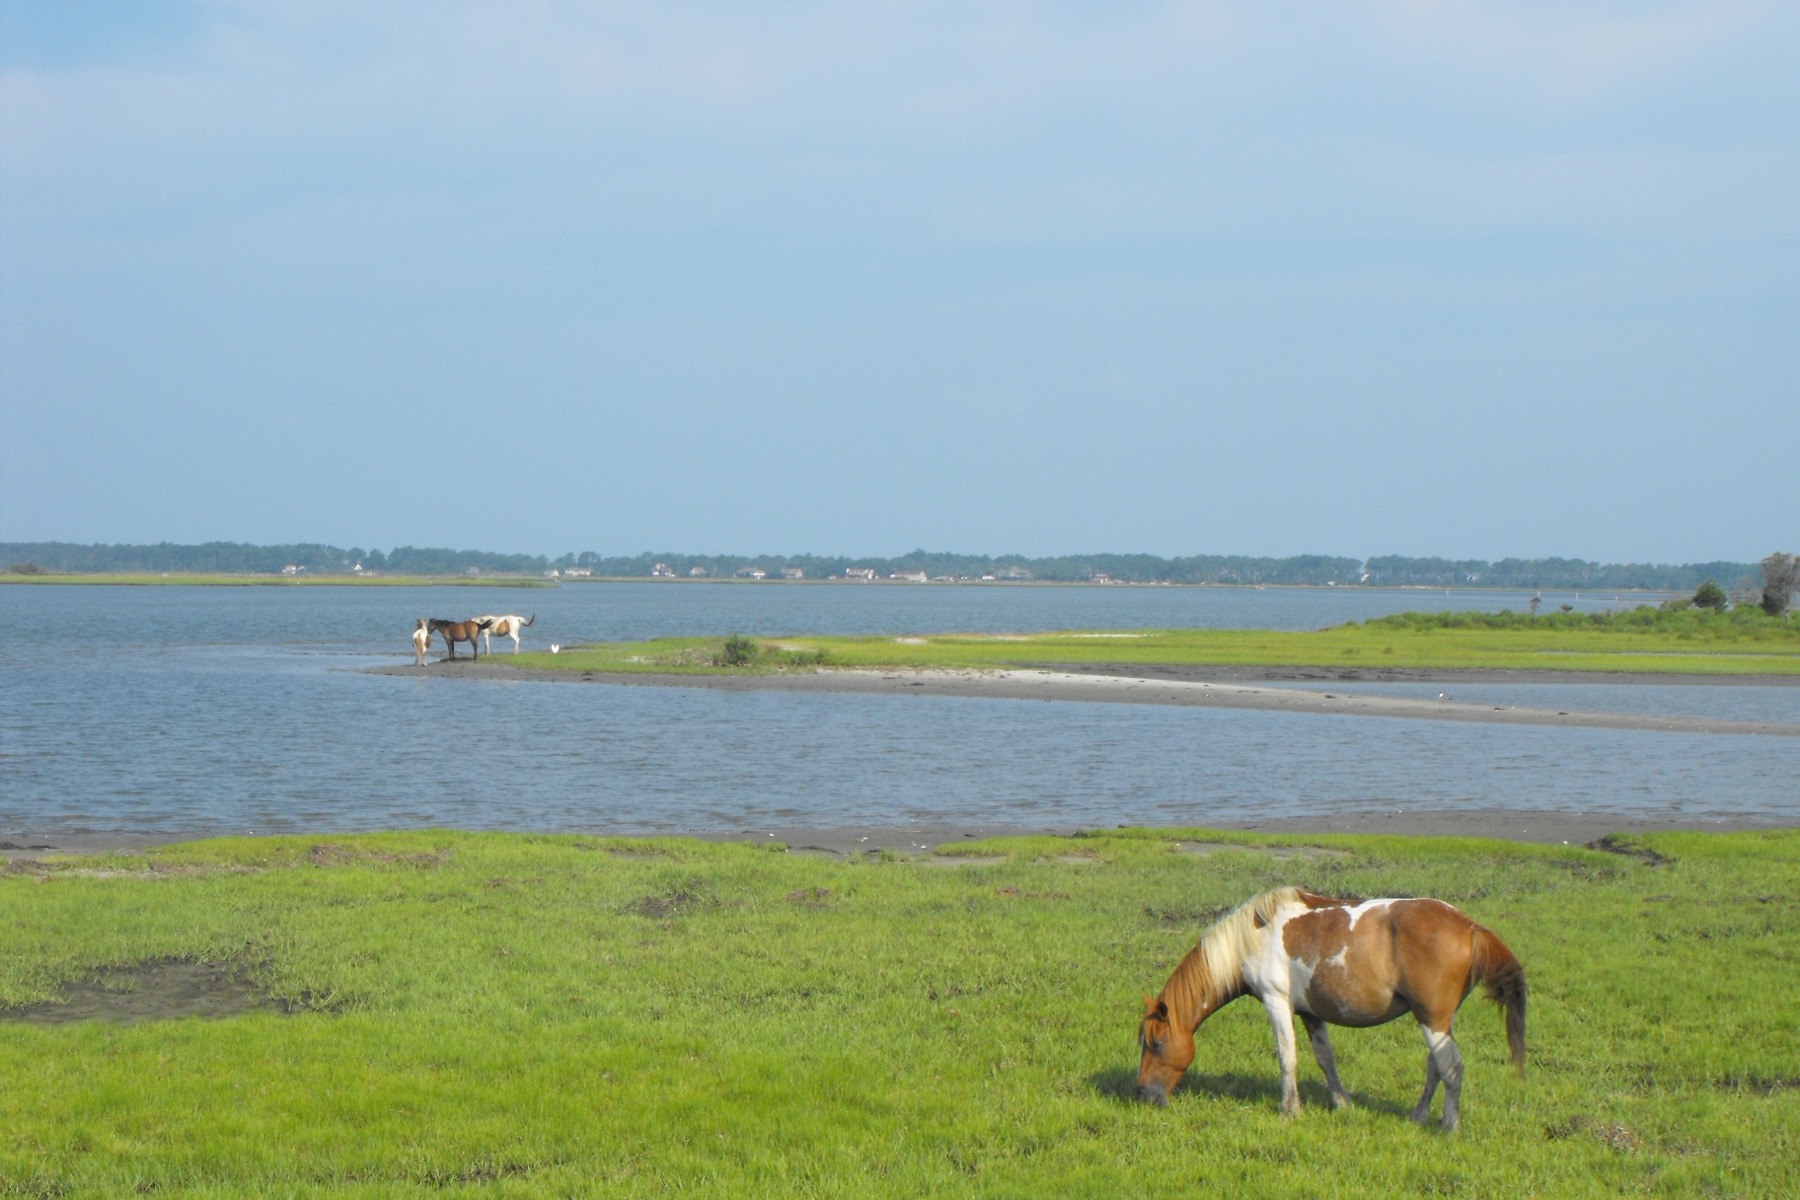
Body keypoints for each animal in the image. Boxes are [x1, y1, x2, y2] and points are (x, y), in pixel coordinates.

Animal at [1136, 886, 1524, 1131]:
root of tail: (1470, 926)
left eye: (1156, 1043)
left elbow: (1287, 1057)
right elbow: (1325, 1058)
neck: (1254, 936)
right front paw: (1341, 1103)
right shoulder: (1310, 1013)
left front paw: (1289, 1111)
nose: (1142, 1093)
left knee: (1451, 1067)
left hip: (1432, 1019)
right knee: (1436, 1068)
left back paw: (1449, 1125)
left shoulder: (1277, 1002)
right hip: (1437, 1019)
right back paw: (1418, 1117)